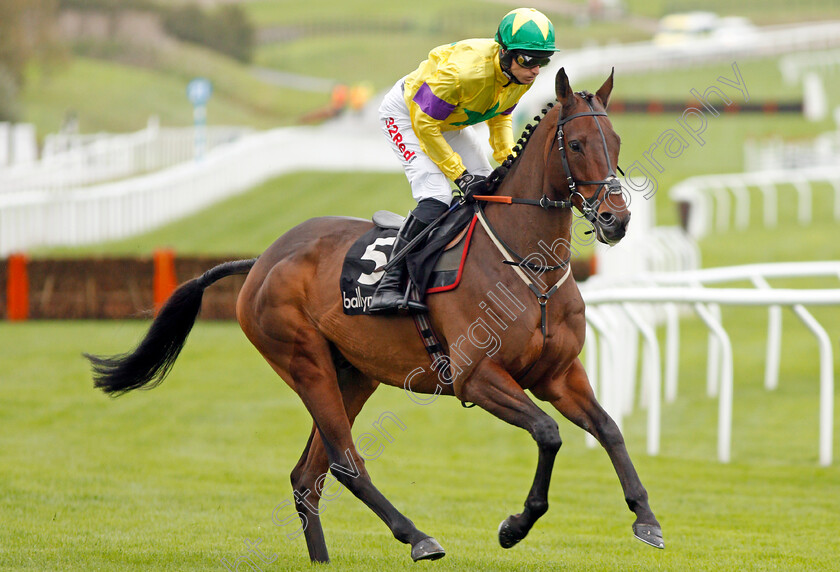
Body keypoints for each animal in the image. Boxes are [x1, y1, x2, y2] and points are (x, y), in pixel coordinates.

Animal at [85, 68, 664, 564]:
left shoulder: (558, 374)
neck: (528, 266)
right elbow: (548, 433)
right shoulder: (477, 376)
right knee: (344, 463)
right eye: (576, 144)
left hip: (354, 374)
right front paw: (515, 526)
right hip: (305, 363)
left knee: (307, 474)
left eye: (616, 143)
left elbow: (609, 428)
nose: (615, 219)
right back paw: (418, 537)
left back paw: (323, 559)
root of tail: (262, 261)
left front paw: (647, 519)